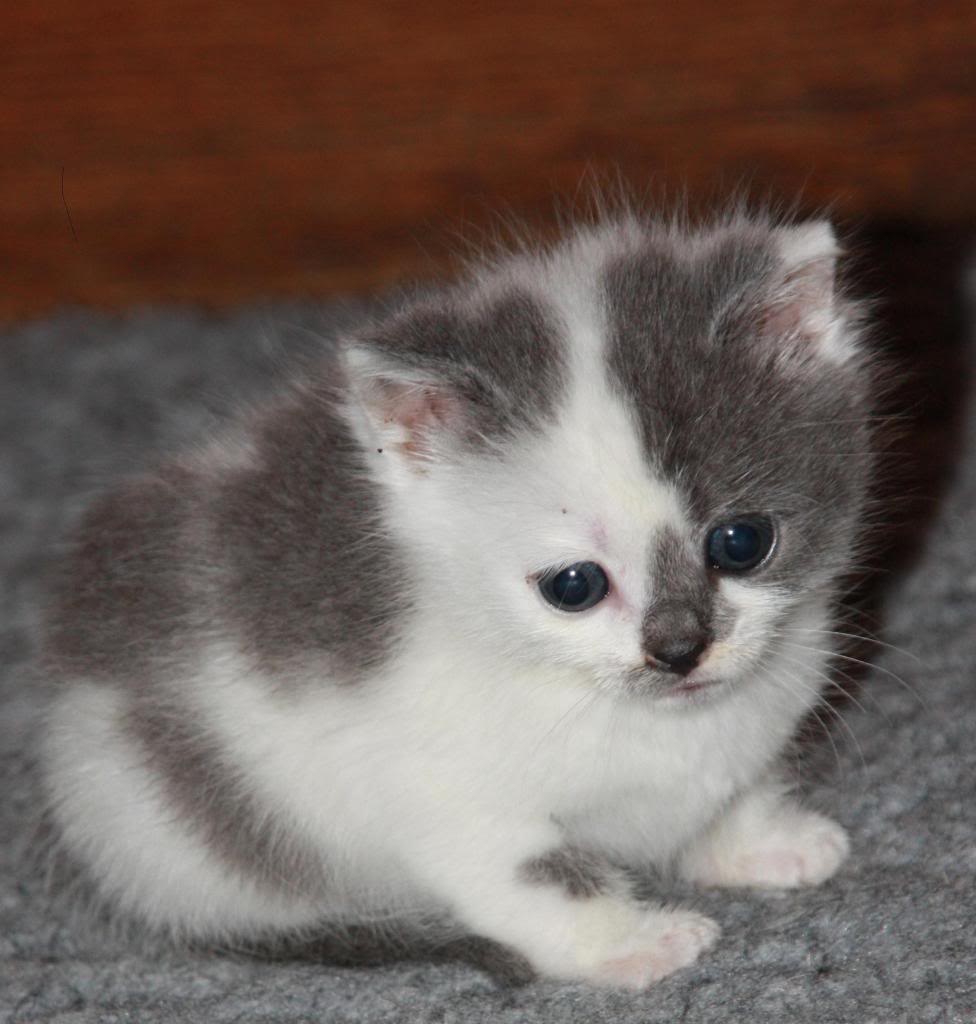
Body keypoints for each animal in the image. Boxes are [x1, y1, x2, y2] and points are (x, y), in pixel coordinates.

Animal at [41, 207, 872, 983]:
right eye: (574, 586)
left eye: (742, 542)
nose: (678, 649)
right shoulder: (443, 798)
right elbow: (535, 875)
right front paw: (634, 943)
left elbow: (729, 785)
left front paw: (759, 840)